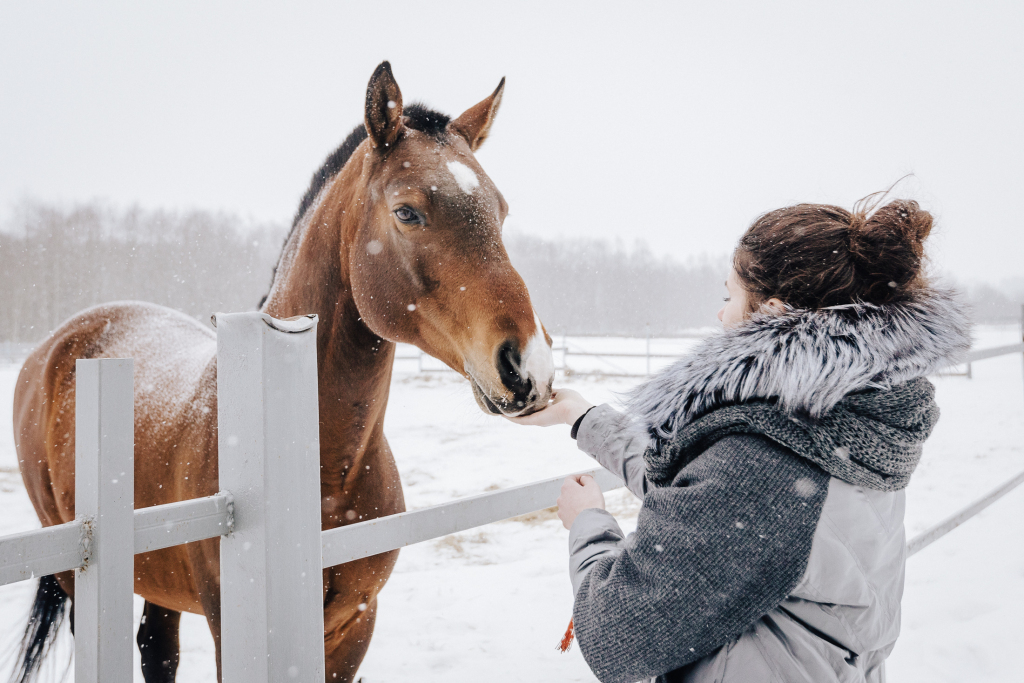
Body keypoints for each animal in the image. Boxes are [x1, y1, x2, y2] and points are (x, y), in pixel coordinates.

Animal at [12, 60, 552, 683]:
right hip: (82, 578)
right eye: (407, 211)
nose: (529, 366)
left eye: (501, 211)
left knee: (158, 649)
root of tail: (57, 344)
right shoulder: (233, 630)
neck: (322, 477)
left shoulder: (355, 625)